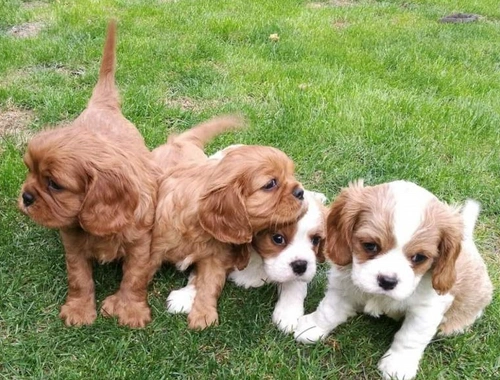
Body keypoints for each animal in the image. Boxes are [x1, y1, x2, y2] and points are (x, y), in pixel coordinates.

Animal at [18, 22, 158, 328]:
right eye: (29, 170)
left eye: (54, 184)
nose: (25, 197)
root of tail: (102, 105)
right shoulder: (72, 243)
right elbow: (79, 278)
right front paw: (79, 310)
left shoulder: (141, 244)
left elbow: (134, 277)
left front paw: (131, 310)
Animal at [150, 127, 304, 330]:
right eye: (270, 184)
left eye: (291, 175)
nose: (301, 192)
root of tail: (177, 142)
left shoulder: (214, 257)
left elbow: (208, 283)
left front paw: (203, 315)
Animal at [294, 180, 494, 380]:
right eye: (370, 246)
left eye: (419, 257)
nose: (388, 281)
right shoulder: (344, 285)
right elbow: (328, 310)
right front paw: (311, 327)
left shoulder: (426, 309)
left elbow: (410, 337)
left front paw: (398, 364)